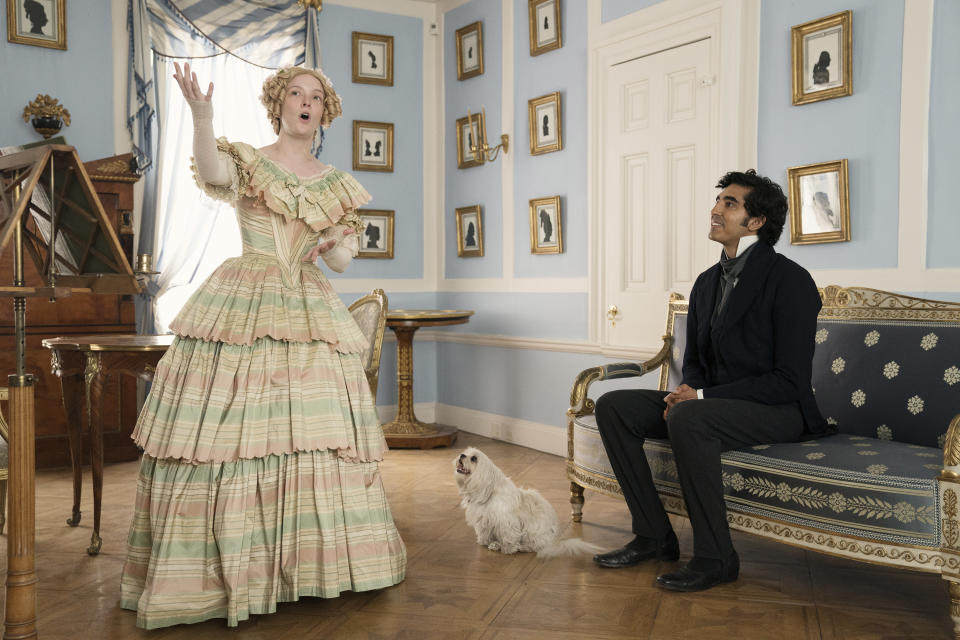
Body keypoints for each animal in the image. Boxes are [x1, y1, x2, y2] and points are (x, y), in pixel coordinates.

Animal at [456, 448, 604, 556]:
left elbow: (508, 536)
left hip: (533, 532)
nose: (461, 455)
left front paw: (508, 549)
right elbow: (485, 532)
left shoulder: (506, 521)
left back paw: (523, 547)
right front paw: (486, 542)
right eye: (466, 452)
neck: (487, 490)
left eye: (474, 458)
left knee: (537, 546)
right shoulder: (483, 519)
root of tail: (555, 540)